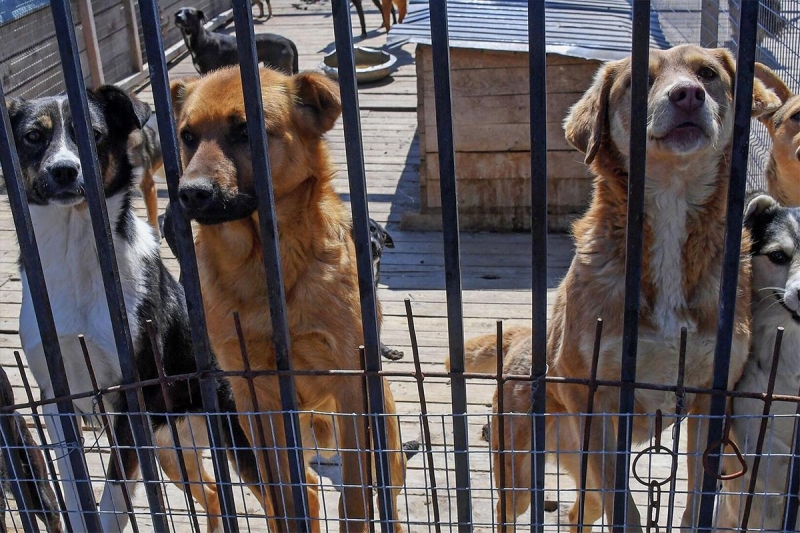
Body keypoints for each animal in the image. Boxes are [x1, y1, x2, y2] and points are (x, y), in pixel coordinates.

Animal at [8, 85, 266, 528]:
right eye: (33, 137)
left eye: (93, 134)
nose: (64, 171)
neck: (75, 248)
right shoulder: (55, 397)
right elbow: (75, 494)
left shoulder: (131, 396)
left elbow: (112, 498)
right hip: (173, 454)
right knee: (216, 497)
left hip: (239, 439)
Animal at [169, 68, 406, 528]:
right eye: (187, 136)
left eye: (246, 130)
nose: (190, 193)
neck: (260, 267)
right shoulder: (252, 400)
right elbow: (284, 494)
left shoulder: (351, 385)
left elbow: (356, 496)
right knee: (305, 489)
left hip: (383, 435)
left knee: (382, 493)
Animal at [450, 44, 780, 528]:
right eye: (638, 80)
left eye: (707, 73)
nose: (687, 95)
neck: (670, 204)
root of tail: (523, 339)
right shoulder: (596, 399)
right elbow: (625, 505)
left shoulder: (710, 400)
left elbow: (696, 497)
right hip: (521, 474)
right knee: (512, 510)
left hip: (577, 468)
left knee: (577, 512)